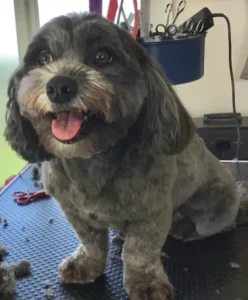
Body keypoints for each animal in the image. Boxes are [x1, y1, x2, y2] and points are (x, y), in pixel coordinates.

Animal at [2, 12, 247, 300]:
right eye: (43, 58)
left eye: (102, 56)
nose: (59, 86)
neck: (91, 158)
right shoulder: (72, 208)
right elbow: (90, 240)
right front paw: (87, 263)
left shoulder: (151, 212)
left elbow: (140, 251)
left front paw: (146, 282)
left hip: (214, 212)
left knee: (220, 224)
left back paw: (186, 227)